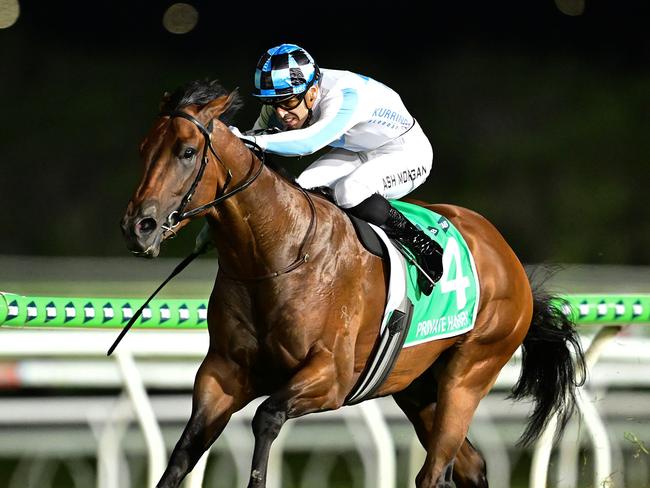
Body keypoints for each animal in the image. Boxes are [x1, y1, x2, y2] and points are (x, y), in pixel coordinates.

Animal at [119, 78, 584, 486]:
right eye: (143, 149)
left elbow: (267, 417)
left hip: (470, 373)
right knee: (470, 467)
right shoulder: (222, 373)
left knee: (434, 473)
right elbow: (182, 455)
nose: (139, 227)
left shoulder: (331, 376)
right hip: (417, 386)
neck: (276, 253)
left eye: (187, 151)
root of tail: (505, 254)